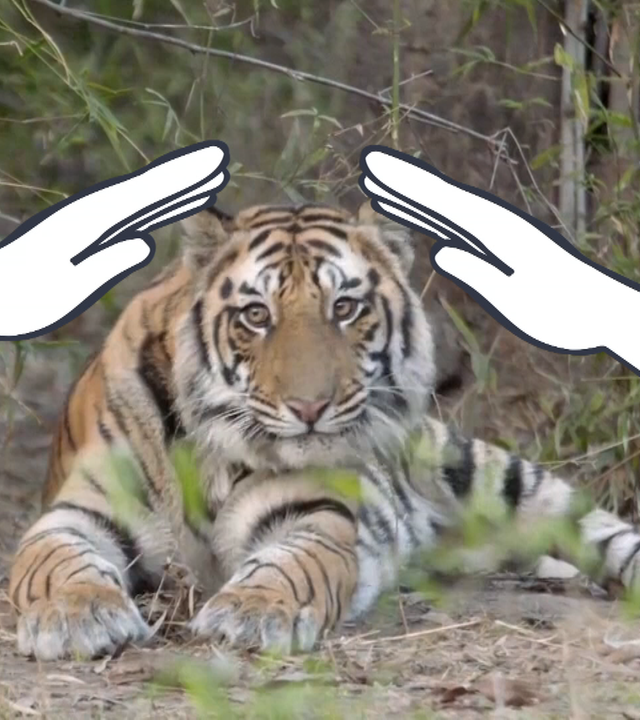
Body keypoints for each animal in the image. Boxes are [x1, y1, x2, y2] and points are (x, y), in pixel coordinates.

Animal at [8, 200, 640, 661]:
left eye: (345, 308)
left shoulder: (313, 515)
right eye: (256, 315)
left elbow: (286, 566)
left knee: (601, 532)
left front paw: (251, 613)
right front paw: (79, 616)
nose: (310, 406)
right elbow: (57, 564)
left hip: (490, 474)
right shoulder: (79, 512)